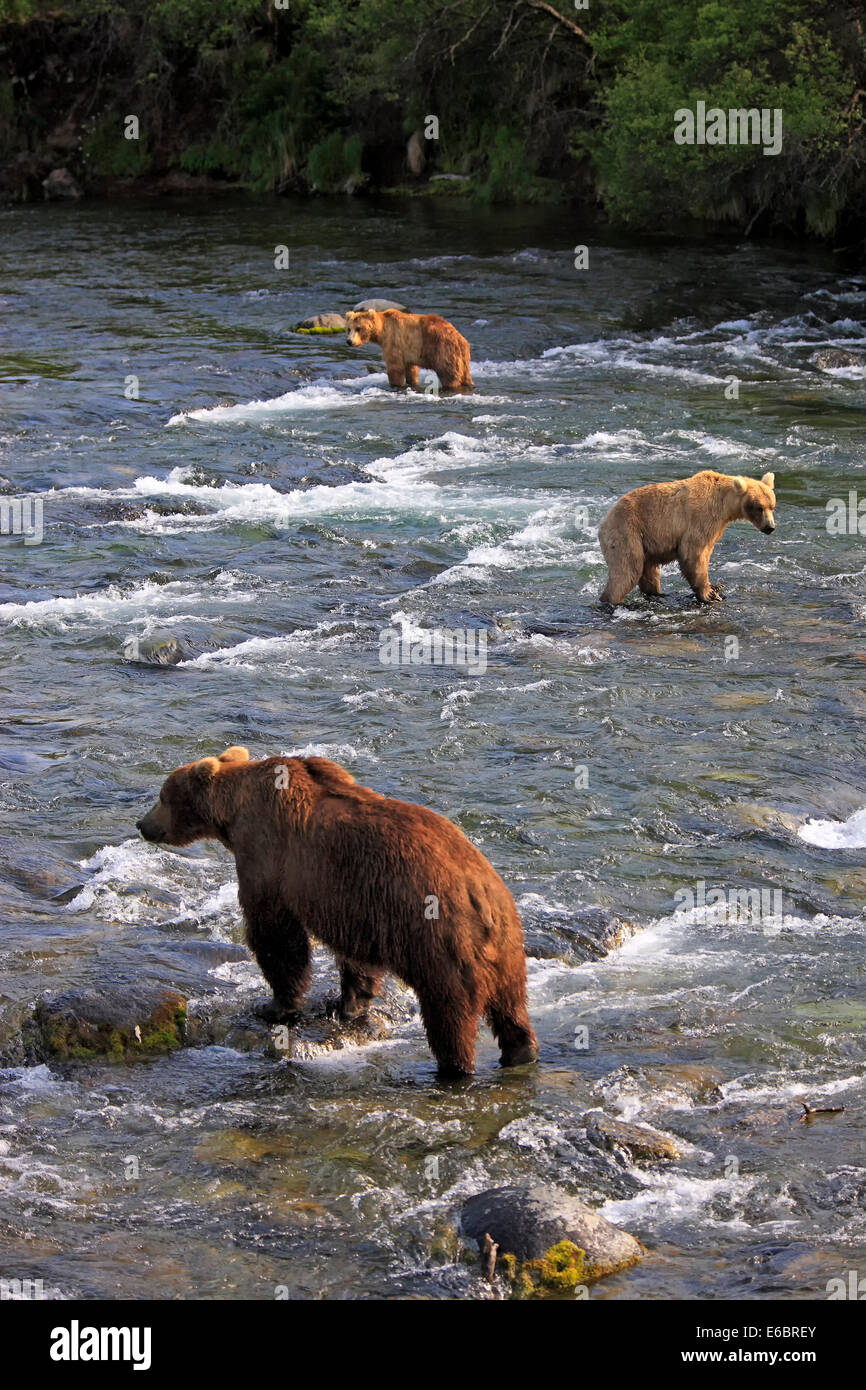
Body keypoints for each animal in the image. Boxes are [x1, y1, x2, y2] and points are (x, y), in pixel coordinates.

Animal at [136, 750, 536, 1073]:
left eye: (161, 796)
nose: (142, 824)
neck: (233, 816)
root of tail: (481, 895)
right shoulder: (358, 904)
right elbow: (356, 957)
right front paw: (347, 1004)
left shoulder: (268, 858)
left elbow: (277, 935)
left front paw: (275, 1006)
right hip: (506, 944)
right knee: (511, 1003)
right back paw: (521, 1051)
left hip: (440, 941)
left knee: (450, 1011)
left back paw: (455, 1067)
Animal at [343, 305, 475, 389]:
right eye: (349, 329)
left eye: (359, 328)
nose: (349, 341)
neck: (381, 331)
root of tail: (461, 340)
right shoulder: (408, 351)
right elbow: (411, 369)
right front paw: (412, 382)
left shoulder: (393, 340)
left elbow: (395, 367)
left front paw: (395, 384)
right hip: (462, 359)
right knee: (465, 376)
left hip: (443, 351)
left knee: (449, 375)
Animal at [600, 469, 778, 606]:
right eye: (759, 507)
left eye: (772, 506)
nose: (770, 527)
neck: (724, 506)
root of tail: (604, 521)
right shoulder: (701, 518)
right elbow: (693, 553)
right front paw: (709, 594)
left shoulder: (716, 527)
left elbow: (705, 553)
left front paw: (716, 586)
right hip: (627, 532)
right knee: (627, 570)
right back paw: (611, 600)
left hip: (646, 543)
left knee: (648, 572)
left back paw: (658, 594)